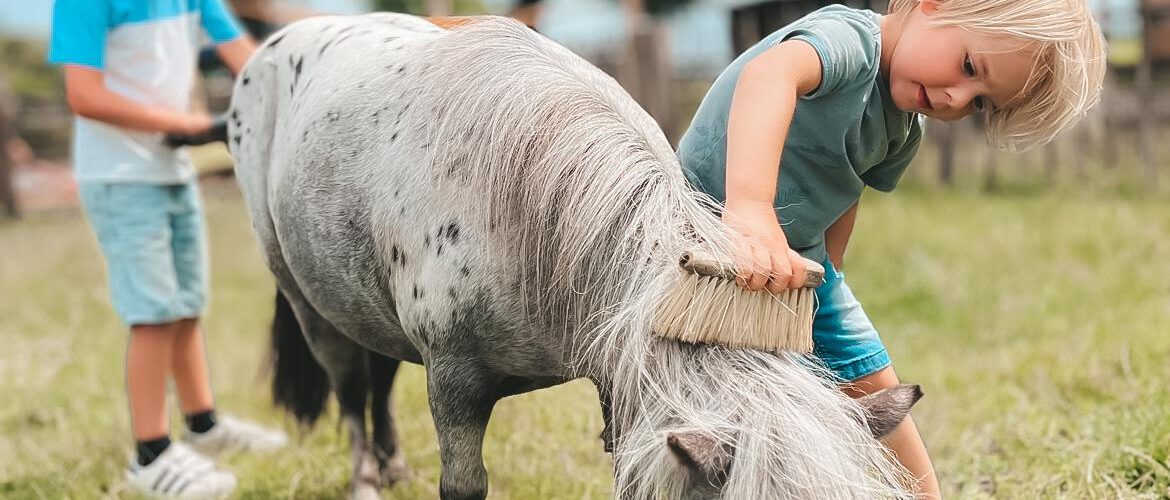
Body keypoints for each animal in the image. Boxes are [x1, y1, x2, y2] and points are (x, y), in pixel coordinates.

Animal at [228, 12, 921, 500]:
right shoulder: (453, 383)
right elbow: (463, 480)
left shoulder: (619, 383)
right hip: (309, 303)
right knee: (349, 386)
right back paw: (367, 479)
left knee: (378, 372)